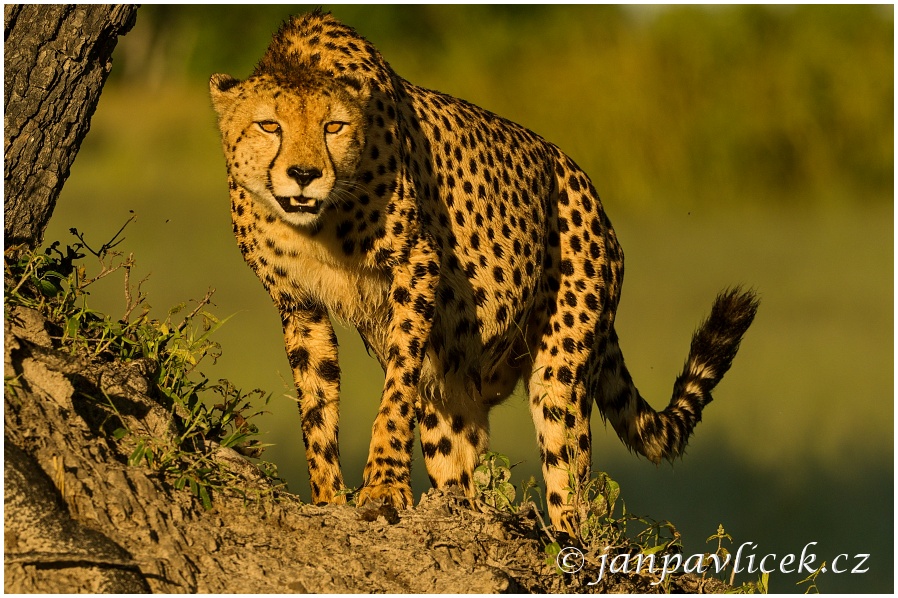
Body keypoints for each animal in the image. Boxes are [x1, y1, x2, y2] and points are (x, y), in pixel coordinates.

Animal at [210, 9, 756, 536]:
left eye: (334, 127)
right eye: (269, 126)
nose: (304, 175)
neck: (317, 224)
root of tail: (592, 196)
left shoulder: (417, 266)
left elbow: (395, 387)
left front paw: (383, 487)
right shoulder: (299, 303)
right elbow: (316, 403)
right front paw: (326, 499)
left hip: (560, 370)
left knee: (572, 483)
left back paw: (570, 540)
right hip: (455, 394)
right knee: (459, 458)